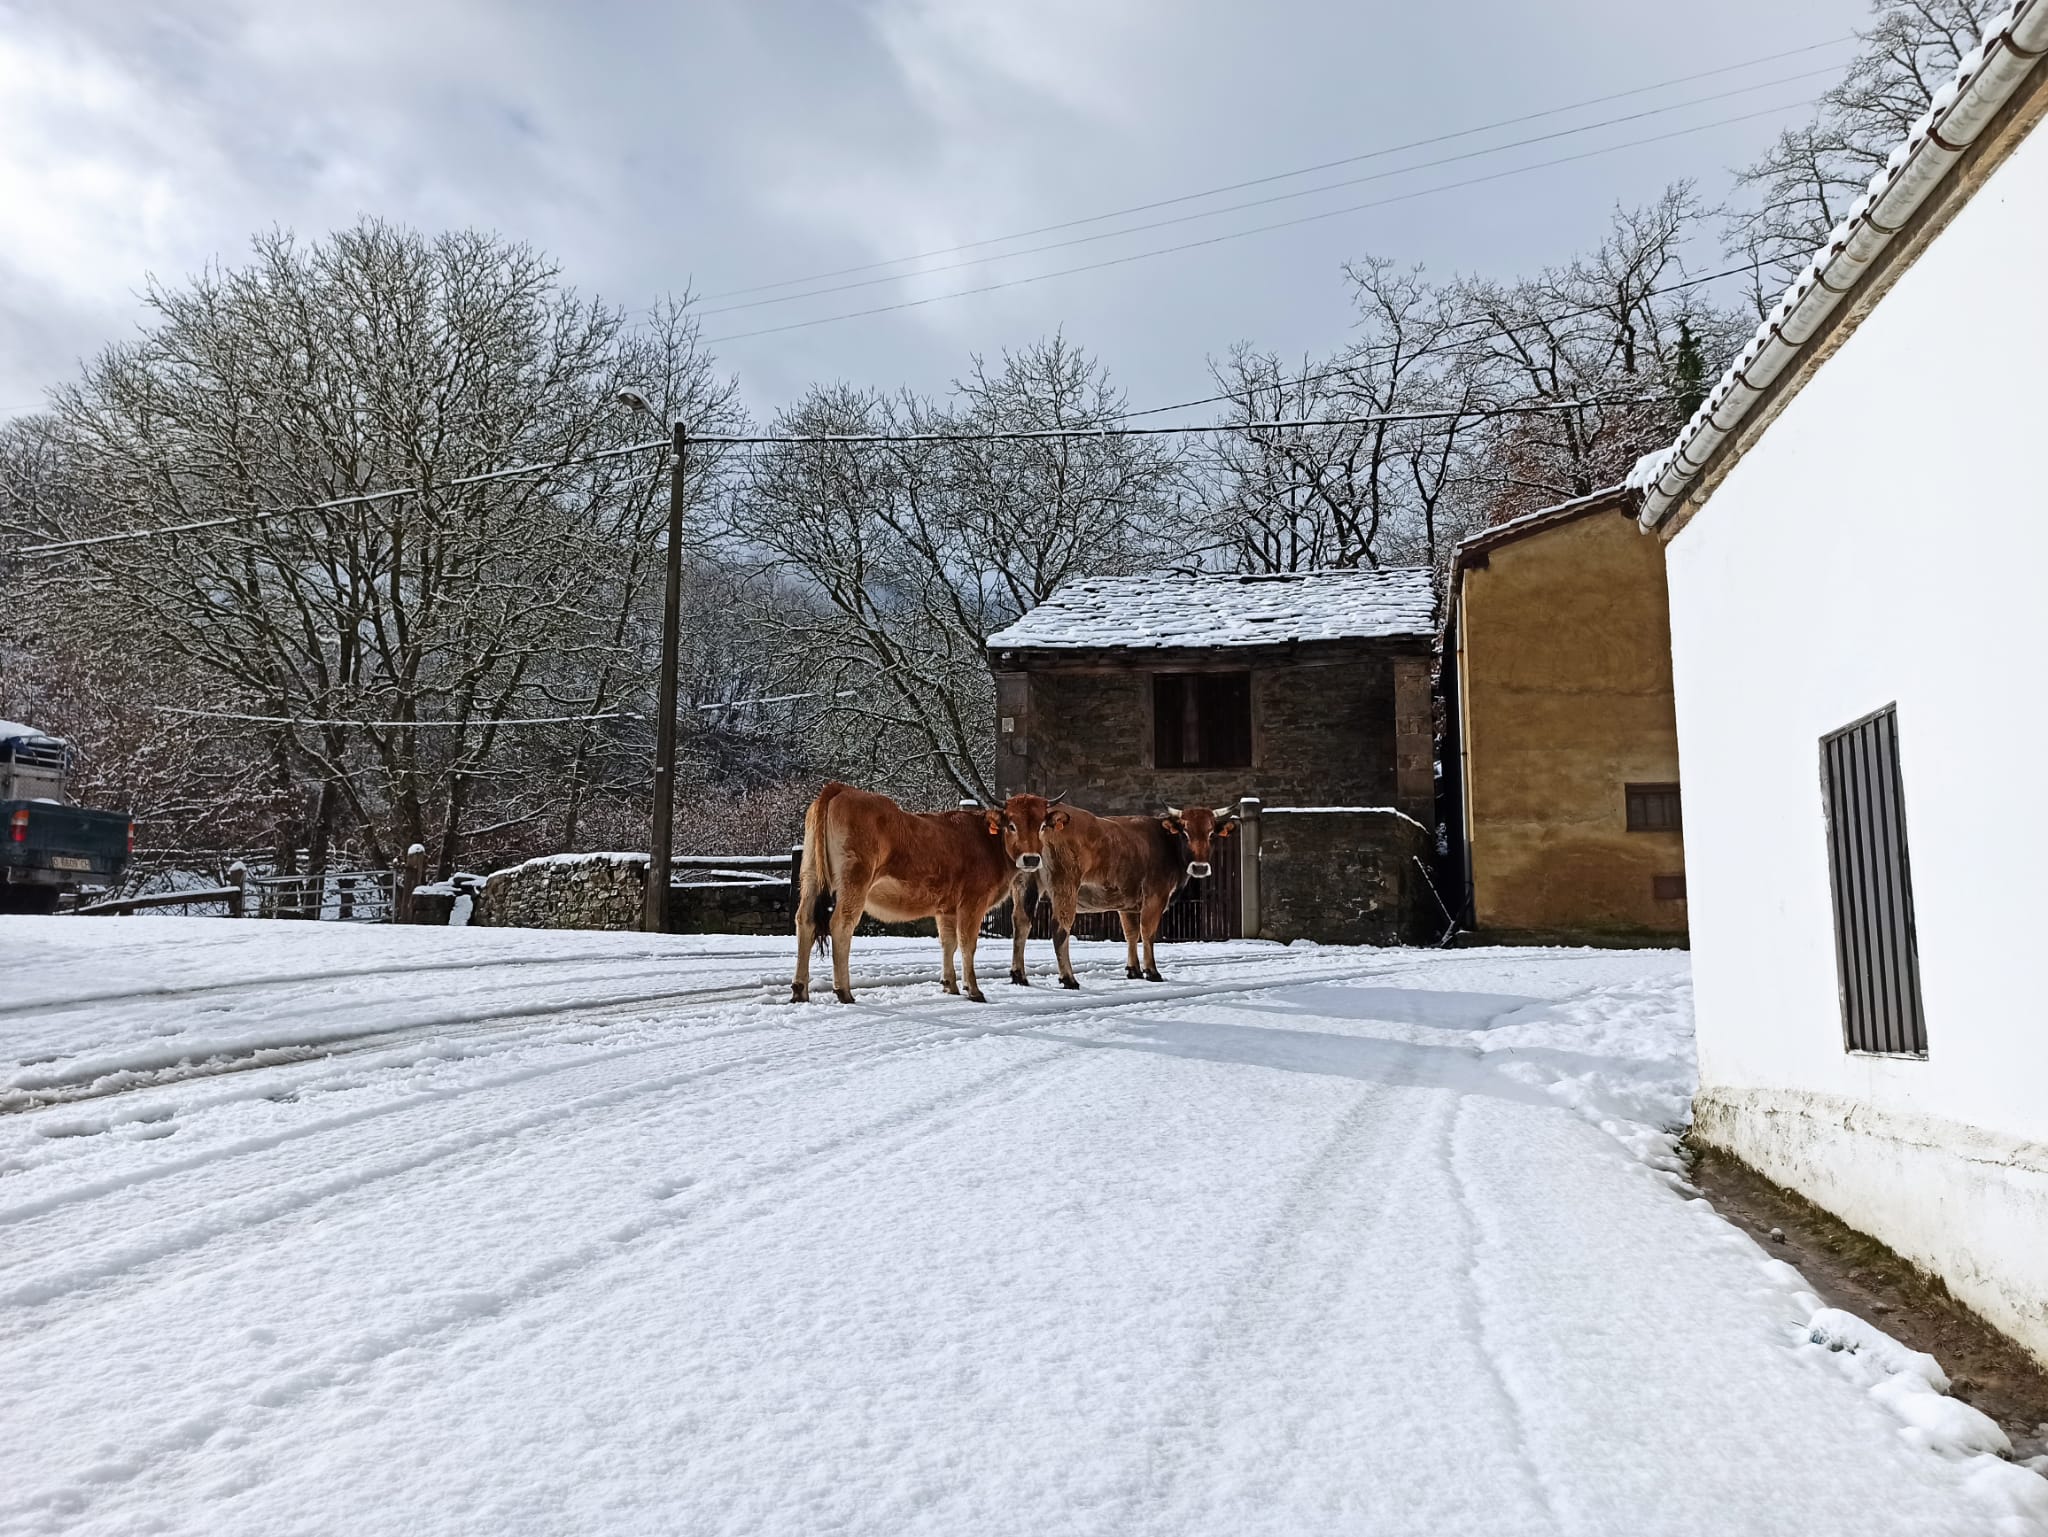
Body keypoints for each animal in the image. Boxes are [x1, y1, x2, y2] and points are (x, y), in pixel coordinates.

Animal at [790, 786, 1064, 1004]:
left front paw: (950, 985)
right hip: (854, 881)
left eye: (1042, 826)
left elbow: (948, 943)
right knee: (841, 924)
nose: (1031, 859)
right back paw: (843, 991)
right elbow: (967, 943)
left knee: (805, 920)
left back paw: (800, 990)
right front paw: (973, 989)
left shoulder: (947, 909)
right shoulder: (972, 902)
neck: (987, 842)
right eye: (1012, 825)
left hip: (810, 875)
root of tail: (841, 788)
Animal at [1007, 799, 1228, 991]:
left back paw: (1019, 975)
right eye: (1185, 833)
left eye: (1211, 834)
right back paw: (1069, 978)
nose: (1200, 867)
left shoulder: (1127, 904)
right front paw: (1152, 972)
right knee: (1060, 929)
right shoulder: (1155, 896)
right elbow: (1147, 932)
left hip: (1025, 884)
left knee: (1021, 924)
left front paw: (1134, 970)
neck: (1166, 842)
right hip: (1065, 886)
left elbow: (1131, 933)